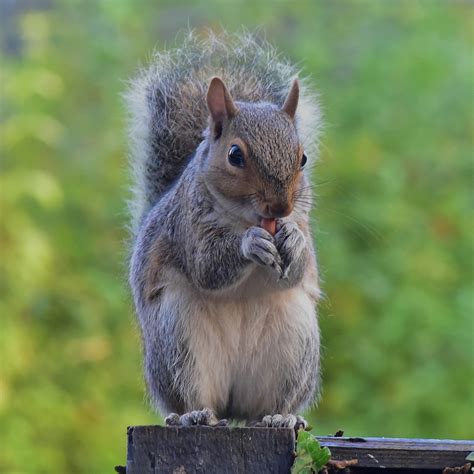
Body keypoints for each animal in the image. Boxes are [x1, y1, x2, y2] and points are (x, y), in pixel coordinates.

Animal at [126, 31, 322, 428]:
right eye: (235, 155)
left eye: (303, 158)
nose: (280, 208)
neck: (244, 217)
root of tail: (232, 408)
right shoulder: (187, 227)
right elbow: (207, 267)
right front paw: (250, 245)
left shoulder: (302, 219)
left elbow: (298, 268)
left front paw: (293, 241)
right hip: (178, 340)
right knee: (189, 393)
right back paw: (193, 415)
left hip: (295, 344)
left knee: (268, 406)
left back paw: (281, 417)